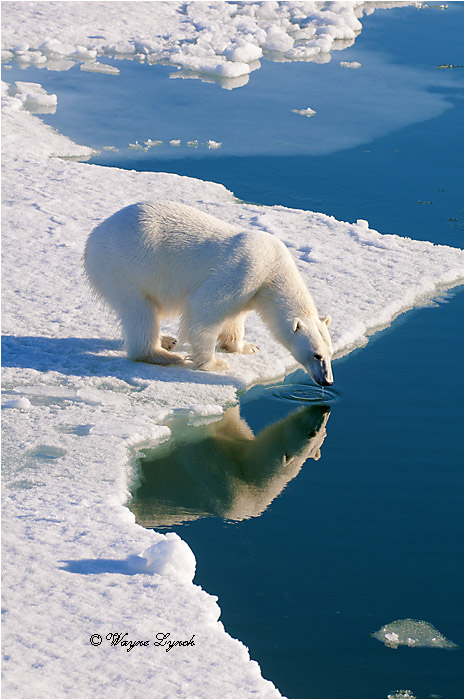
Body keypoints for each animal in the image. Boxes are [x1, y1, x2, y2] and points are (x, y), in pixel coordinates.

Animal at [84, 201, 333, 386]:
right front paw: (215, 363)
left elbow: (235, 318)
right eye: (316, 355)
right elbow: (205, 308)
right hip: (127, 268)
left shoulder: (253, 290)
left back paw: (167, 340)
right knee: (140, 311)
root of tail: (94, 235)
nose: (328, 381)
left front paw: (246, 347)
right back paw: (163, 354)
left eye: (330, 353)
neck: (273, 268)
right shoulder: (245, 269)